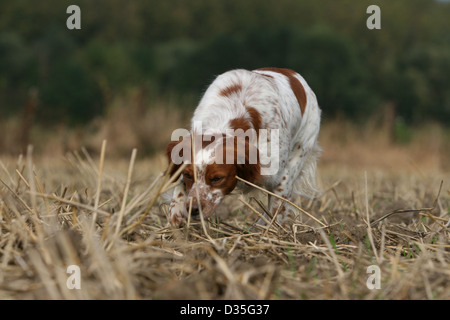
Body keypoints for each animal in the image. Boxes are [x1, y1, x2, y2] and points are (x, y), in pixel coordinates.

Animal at [164, 68, 320, 226]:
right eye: (188, 175)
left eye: (217, 178)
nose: (193, 209)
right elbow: (179, 189)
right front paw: (176, 213)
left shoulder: (281, 176)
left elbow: (276, 210)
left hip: (300, 152)